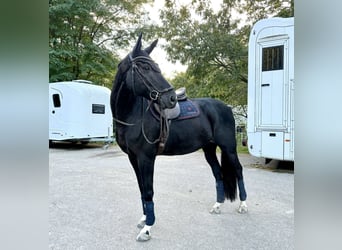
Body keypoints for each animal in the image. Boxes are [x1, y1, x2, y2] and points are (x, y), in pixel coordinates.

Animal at [111, 34, 247, 241]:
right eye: (146, 68)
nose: (172, 99)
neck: (133, 115)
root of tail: (225, 107)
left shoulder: (146, 158)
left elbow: (148, 190)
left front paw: (147, 228)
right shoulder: (133, 158)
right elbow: (142, 189)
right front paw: (144, 219)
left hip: (228, 147)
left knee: (238, 170)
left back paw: (243, 205)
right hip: (209, 149)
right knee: (218, 173)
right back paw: (217, 205)